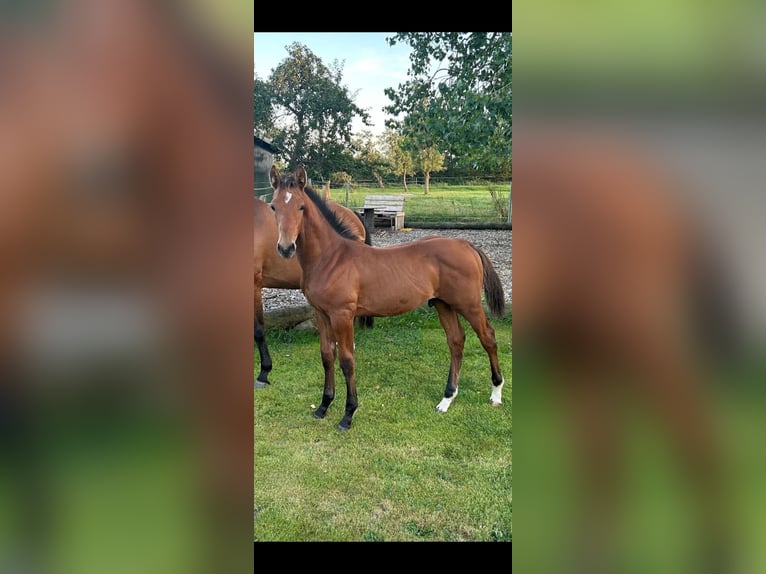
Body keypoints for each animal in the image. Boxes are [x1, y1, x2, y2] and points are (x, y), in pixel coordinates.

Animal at [270, 164, 510, 430]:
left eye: (301, 206)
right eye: (273, 206)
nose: (286, 248)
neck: (331, 258)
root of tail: (466, 244)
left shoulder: (343, 316)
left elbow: (347, 360)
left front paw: (348, 414)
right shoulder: (321, 314)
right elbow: (326, 356)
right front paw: (323, 406)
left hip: (469, 305)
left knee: (488, 338)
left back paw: (496, 394)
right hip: (443, 304)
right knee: (456, 341)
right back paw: (446, 400)